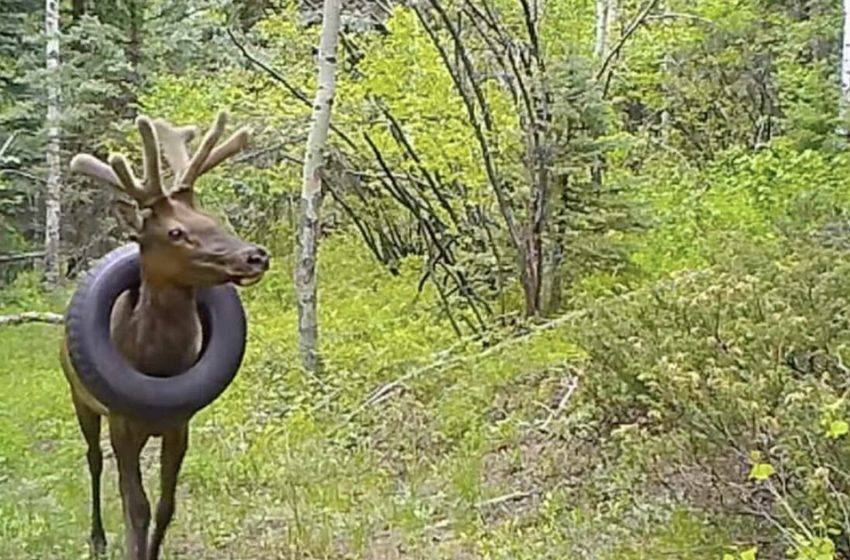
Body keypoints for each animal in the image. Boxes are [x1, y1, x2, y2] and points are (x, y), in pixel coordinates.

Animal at [62, 111, 268, 556]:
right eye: (174, 232)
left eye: (209, 219)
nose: (256, 255)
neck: (157, 364)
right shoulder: (122, 422)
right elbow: (135, 506)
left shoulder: (180, 424)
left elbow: (165, 506)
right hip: (80, 397)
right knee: (93, 458)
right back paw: (97, 537)